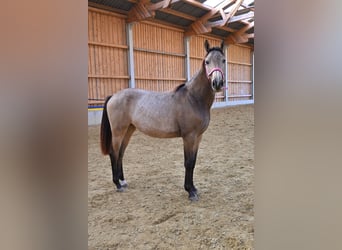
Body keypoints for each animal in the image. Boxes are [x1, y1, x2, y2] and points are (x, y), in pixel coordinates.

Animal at [100, 40, 226, 201]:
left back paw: (123, 181)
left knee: (121, 153)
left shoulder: (198, 137)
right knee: (113, 152)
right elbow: (188, 163)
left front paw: (194, 188)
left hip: (129, 129)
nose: (217, 83)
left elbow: (193, 162)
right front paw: (190, 191)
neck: (193, 98)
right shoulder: (189, 137)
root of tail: (113, 96)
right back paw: (117, 184)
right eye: (207, 61)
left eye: (223, 60)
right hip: (118, 131)